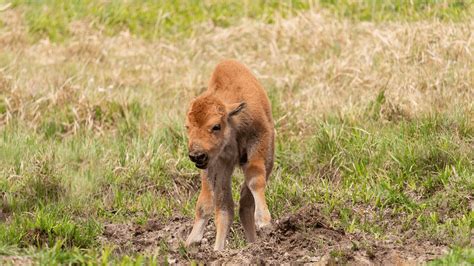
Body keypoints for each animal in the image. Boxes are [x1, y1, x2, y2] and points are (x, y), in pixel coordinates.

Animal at [185, 59, 274, 250]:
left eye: (216, 126)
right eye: (187, 127)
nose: (196, 155)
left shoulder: (258, 144)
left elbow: (255, 179)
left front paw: (263, 220)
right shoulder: (216, 164)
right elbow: (208, 203)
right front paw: (192, 240)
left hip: (267, 159)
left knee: (245, 202)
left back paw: (253, 242)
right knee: (226, 206)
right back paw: (219, 249)